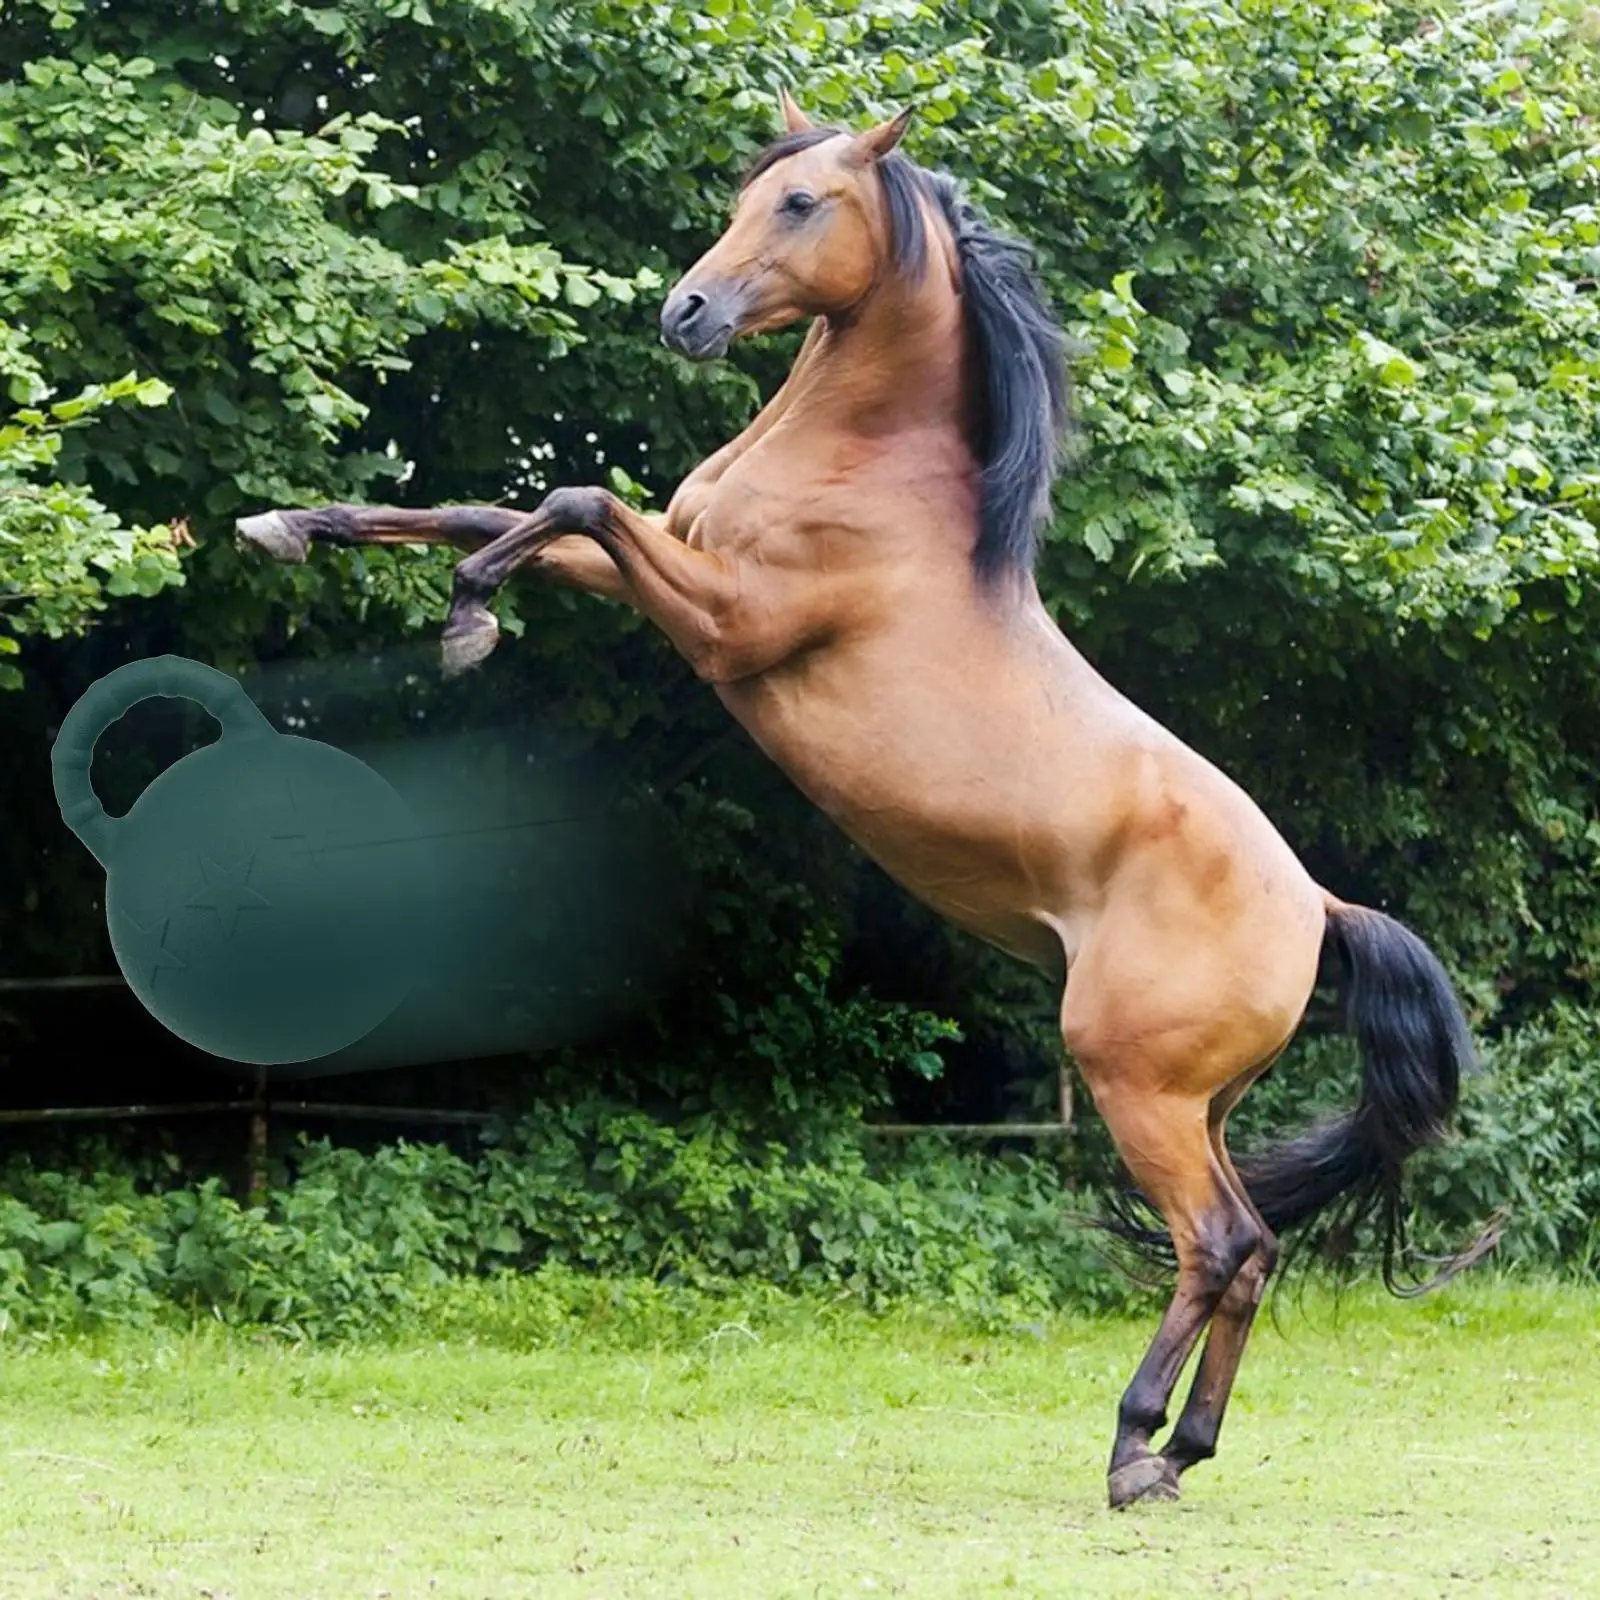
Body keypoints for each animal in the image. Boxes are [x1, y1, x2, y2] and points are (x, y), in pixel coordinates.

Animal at [236, 90, 1484, 1510]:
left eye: (799, 203)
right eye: (744, 196)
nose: (685, 312)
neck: (866, 473)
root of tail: (1318, 905)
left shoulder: (723, 624)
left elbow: (568, 497)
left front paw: (466, 622)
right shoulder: (665, 570)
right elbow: (483, 508)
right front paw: (291, 527)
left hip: (1135, 1086)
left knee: (1216, 1242)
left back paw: (1130, 1449)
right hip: (1197, 1102)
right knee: (1256, 1246)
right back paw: (1184, 1452)